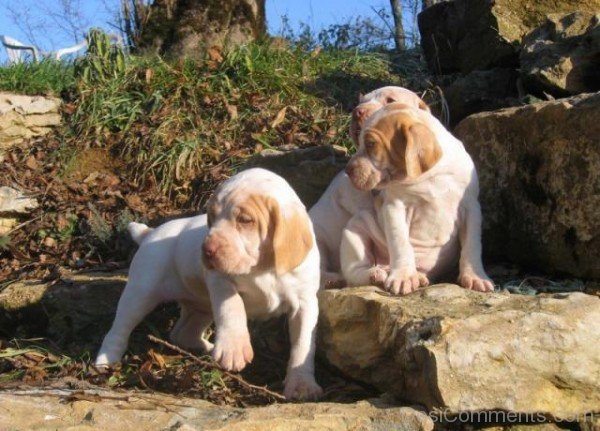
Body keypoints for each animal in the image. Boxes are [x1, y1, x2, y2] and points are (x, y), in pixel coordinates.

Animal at [95, 168, 324, 402]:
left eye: (245, 220)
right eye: (211, 218)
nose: (206, 250)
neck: (263, 268)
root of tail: (150, 233)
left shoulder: (305, 304)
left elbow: (303, 343)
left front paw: (302, 384)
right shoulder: (220, 281)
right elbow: (232, 307)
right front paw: (233, 347)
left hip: (200, 308)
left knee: (182, 333)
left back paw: (207, 347)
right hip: (140, 294)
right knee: (119, 329)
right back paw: (106, 360)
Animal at [342, 103, 492, 296]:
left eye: (371, 144)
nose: (347, 170)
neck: (430, 176)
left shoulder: (471, 209)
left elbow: (472, 246)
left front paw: (475, 277)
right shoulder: (394, 208)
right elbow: (401, 243)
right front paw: (404, 276)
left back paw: (416, 276)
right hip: (355, 229)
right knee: (353, 272)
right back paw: (377, 274)